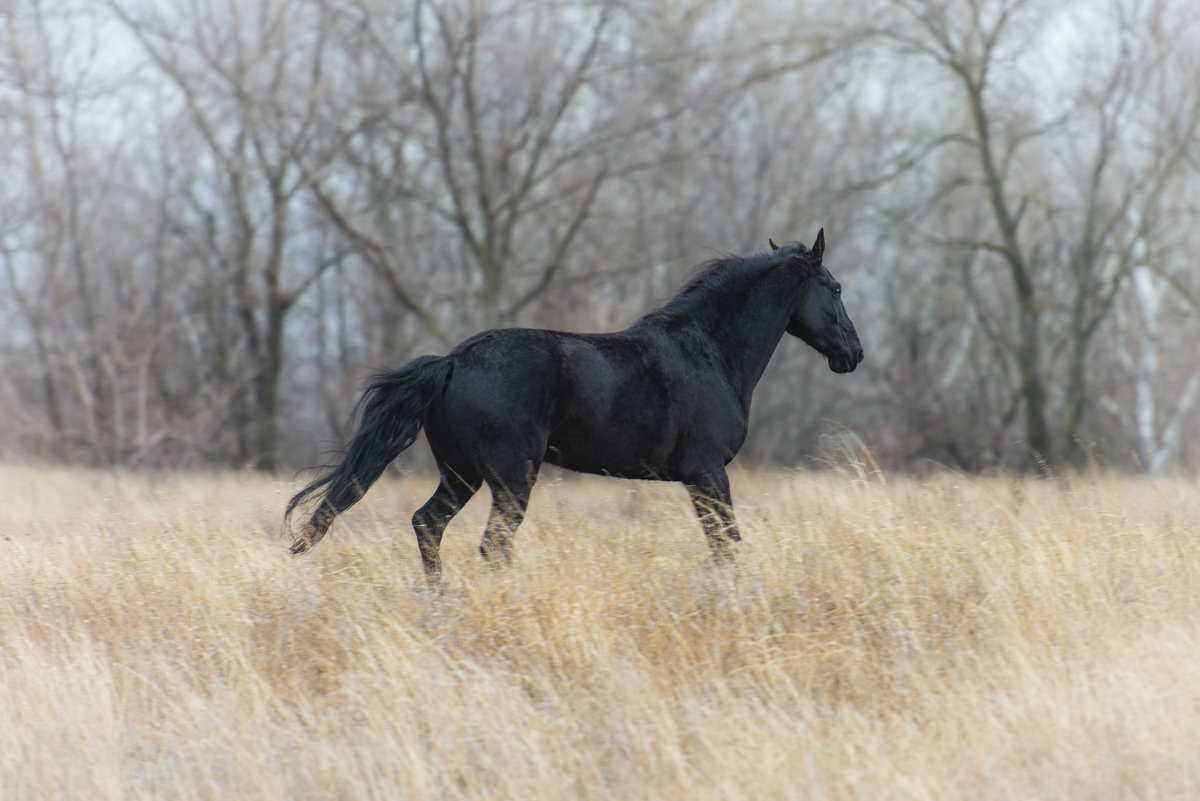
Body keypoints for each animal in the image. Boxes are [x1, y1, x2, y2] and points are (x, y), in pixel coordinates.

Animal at [286, 227, 868, 577]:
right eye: (836, 288)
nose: (854, 353)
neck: (709, 351)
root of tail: (451, 361)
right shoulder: (707, 474)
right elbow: (727, 545)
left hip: (461, 473)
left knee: (429, 526)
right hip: (510, 478)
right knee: (492, 546)